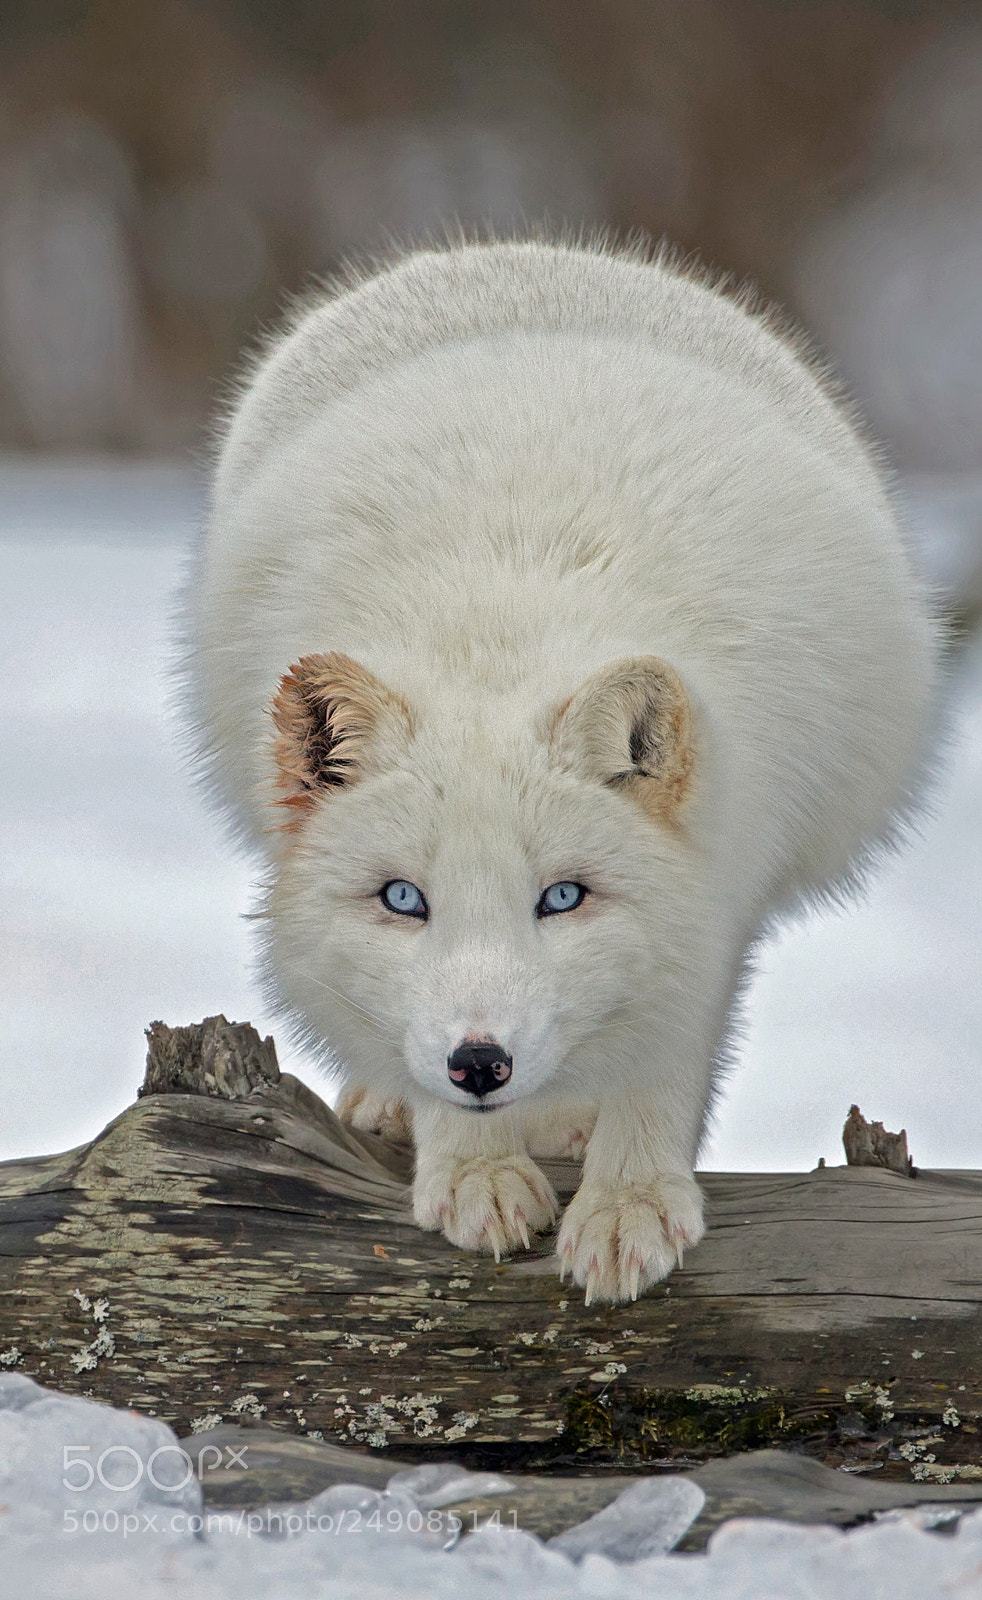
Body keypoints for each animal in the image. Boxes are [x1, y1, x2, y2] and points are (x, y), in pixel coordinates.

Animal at [181, 237, 938, 1305]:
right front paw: (475, 1172)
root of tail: (522, 249)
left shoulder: (716, 895)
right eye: (404, 899)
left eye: (564, 897)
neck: (504, 629)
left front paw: (628, 1204)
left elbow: (661, 1054)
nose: (480, 1065)